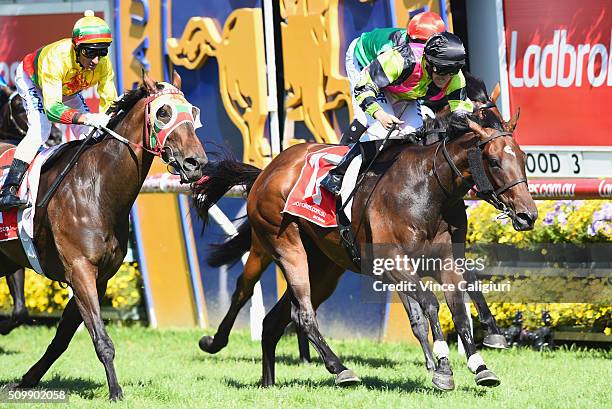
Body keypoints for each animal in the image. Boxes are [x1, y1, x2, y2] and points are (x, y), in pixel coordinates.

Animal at [0, 72, 207, 398]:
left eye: (194, 112)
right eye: (164, 112)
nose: (196, 163)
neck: (97, 189)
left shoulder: (99, 277)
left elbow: (63, 338)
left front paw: (26, 379)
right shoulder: (79, 269)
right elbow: (100, 337)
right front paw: (115, 391)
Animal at [192, 103, 536, 388]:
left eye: (523, 159)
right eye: (494, 161)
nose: (528, 215)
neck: (427, 189)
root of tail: (268, 170)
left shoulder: (445, 263)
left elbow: (459, 311)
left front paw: (481, 366)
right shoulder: (393, 263)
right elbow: (430, 303)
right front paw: (442, 367)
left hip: (323, 266)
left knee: (277, 318)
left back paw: (268, 380)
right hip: (284, 246)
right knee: (288, 307)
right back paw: (339, 369)